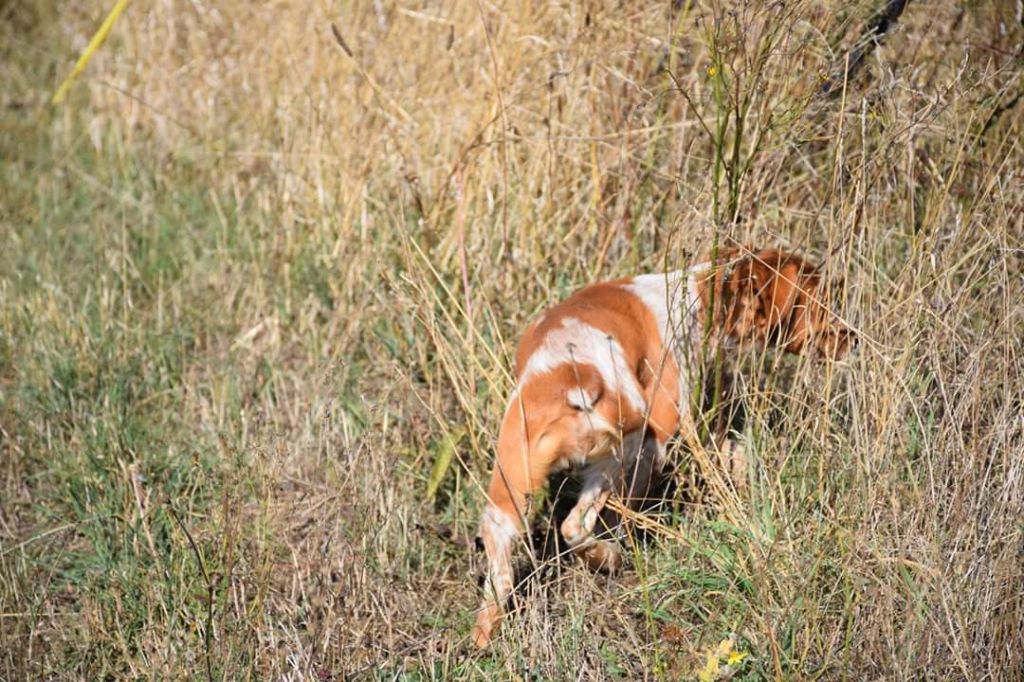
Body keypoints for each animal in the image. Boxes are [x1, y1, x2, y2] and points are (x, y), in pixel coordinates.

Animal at [471, 246, 856, 647]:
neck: (695, 296)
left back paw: (486, 632)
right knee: (576, 525)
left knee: (506, 559)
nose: (854, 338)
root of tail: (570, 375)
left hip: (511, 486)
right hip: (626, 447)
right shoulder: (669, 427)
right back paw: (609, 557)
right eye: (820, 301)